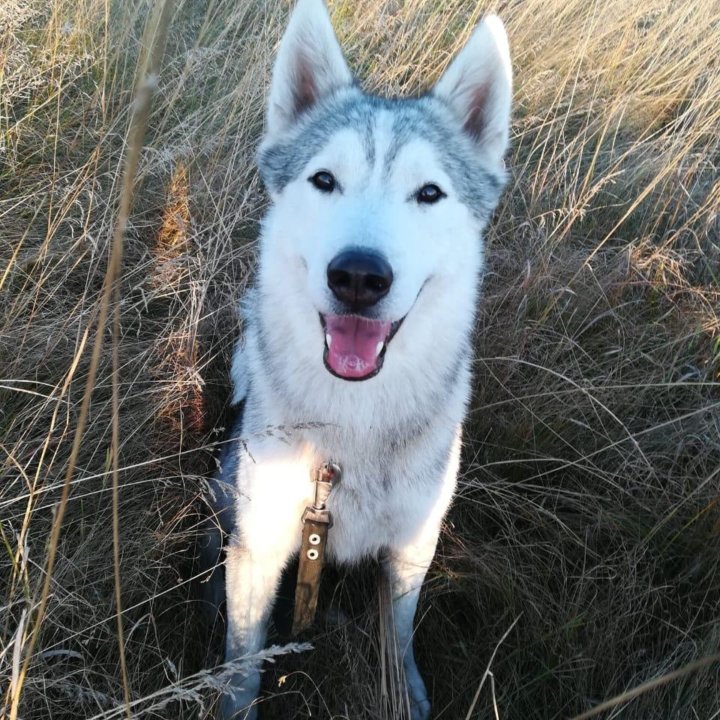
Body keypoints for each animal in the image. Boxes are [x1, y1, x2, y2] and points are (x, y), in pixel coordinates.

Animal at [204, 1, 512, 716]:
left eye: (429, 193)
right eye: (324, 180)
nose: (359, 276)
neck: (352, 423)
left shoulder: (413, 544)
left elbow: (397, 631)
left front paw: (406, 690)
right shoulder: (259, 546)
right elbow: (243, 660)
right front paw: (235, 702)